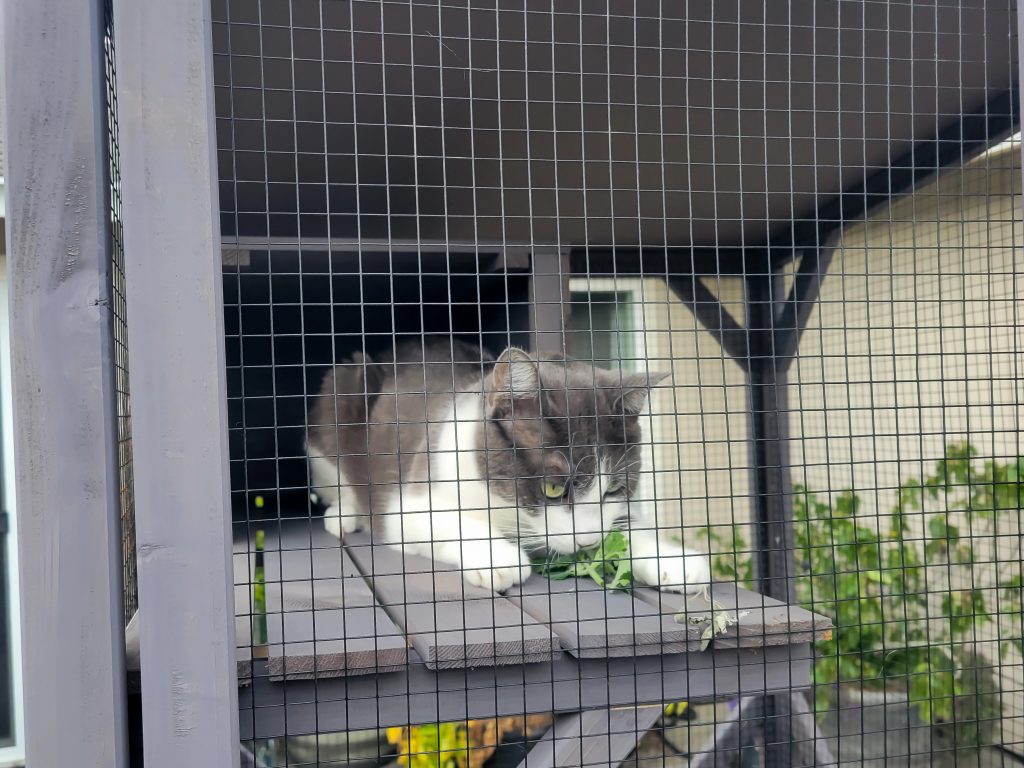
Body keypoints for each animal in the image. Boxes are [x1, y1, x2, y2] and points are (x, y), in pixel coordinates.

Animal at [307, 339, 710, 594]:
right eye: (552, 488)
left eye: (613, 489)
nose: (587, 541)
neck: (505, 507)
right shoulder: (412, 499)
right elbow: (442, 521)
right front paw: (498, 557)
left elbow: (627, 524)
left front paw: (673, 559)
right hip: (341, 391)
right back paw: (344, 515)